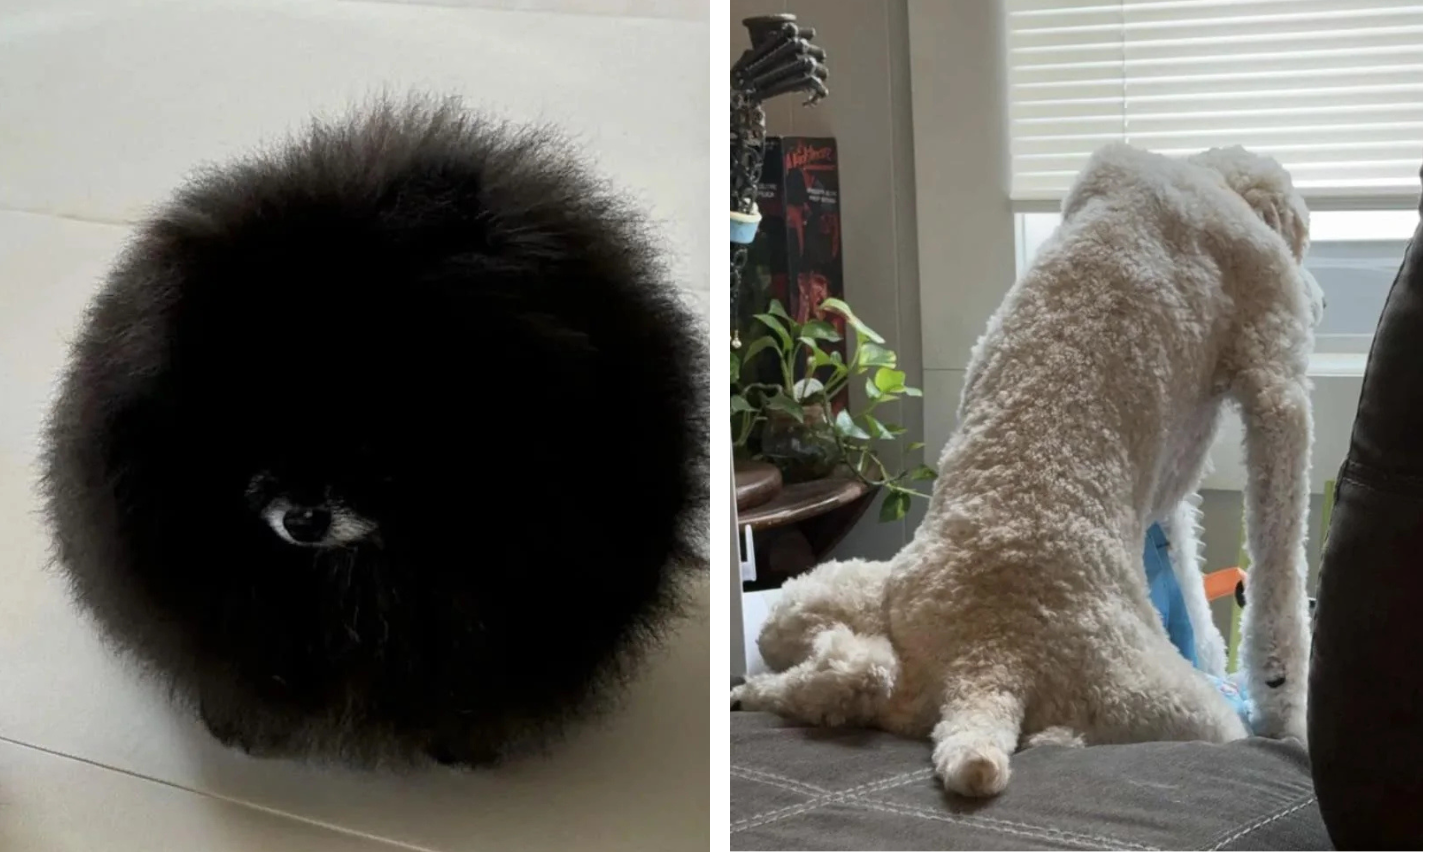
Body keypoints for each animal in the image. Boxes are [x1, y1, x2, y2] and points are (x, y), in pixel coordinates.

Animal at [737, 144, 1319, 800]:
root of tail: (987, 666)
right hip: (1174, 706)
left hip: (816, 599)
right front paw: (1286, 710)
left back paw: (767, 690)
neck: (1197, 175)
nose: (1320, 299)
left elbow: (1187, 566)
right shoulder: (1275, 359)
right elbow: (1279, 574)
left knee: (838, 672)